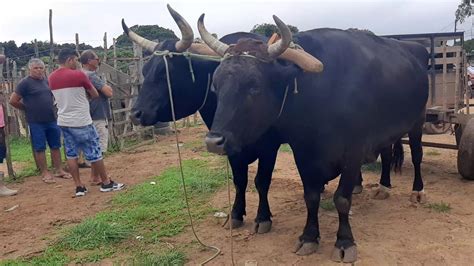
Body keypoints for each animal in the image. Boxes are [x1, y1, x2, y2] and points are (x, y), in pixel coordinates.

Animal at [204, 20, 430, 262]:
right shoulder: (303, 152)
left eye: (254, 85)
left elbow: (342, 199)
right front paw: (309, 237)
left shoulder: (353, 152)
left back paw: (417, 191)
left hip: (418, 121)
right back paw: (384, 187)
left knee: (417, 155)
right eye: (216, 85)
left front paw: (344, 242)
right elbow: (310, 196)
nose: (213, 141)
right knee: (387, 155)